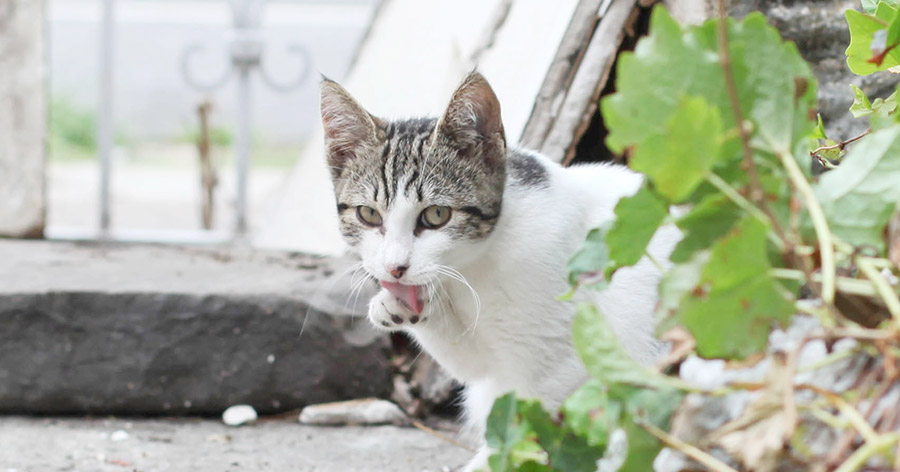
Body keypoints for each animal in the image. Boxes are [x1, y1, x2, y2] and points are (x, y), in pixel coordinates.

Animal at [316, 72, 676, 470]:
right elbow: (474, 364)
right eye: (368, 214)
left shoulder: (567, 351)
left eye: (436, 215)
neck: (477, 265)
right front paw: (400, 306)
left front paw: (495, 457)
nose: (395, 267)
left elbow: (535, 411)